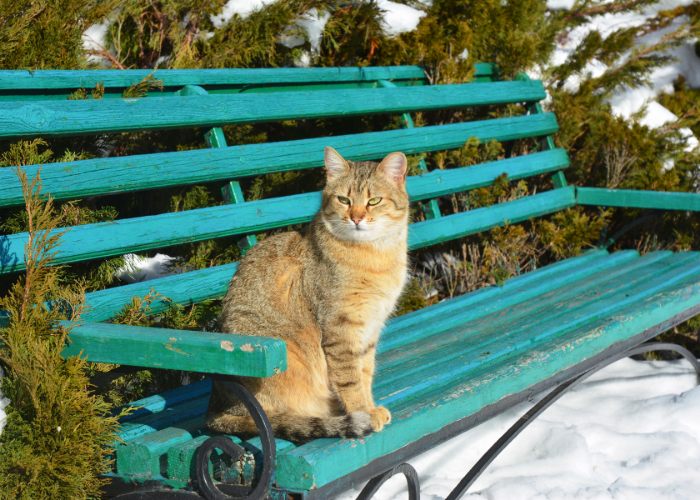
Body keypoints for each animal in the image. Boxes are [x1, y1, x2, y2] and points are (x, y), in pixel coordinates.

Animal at [208, 146, 412, 442]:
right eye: (343, 199)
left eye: (374, 200)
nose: (357, 218)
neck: (373, 255)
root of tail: (214, 410)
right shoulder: (341, 329)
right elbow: (350, 379)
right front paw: (364, 411)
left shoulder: (369, 329)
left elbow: (365, 372)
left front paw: (370, 406)